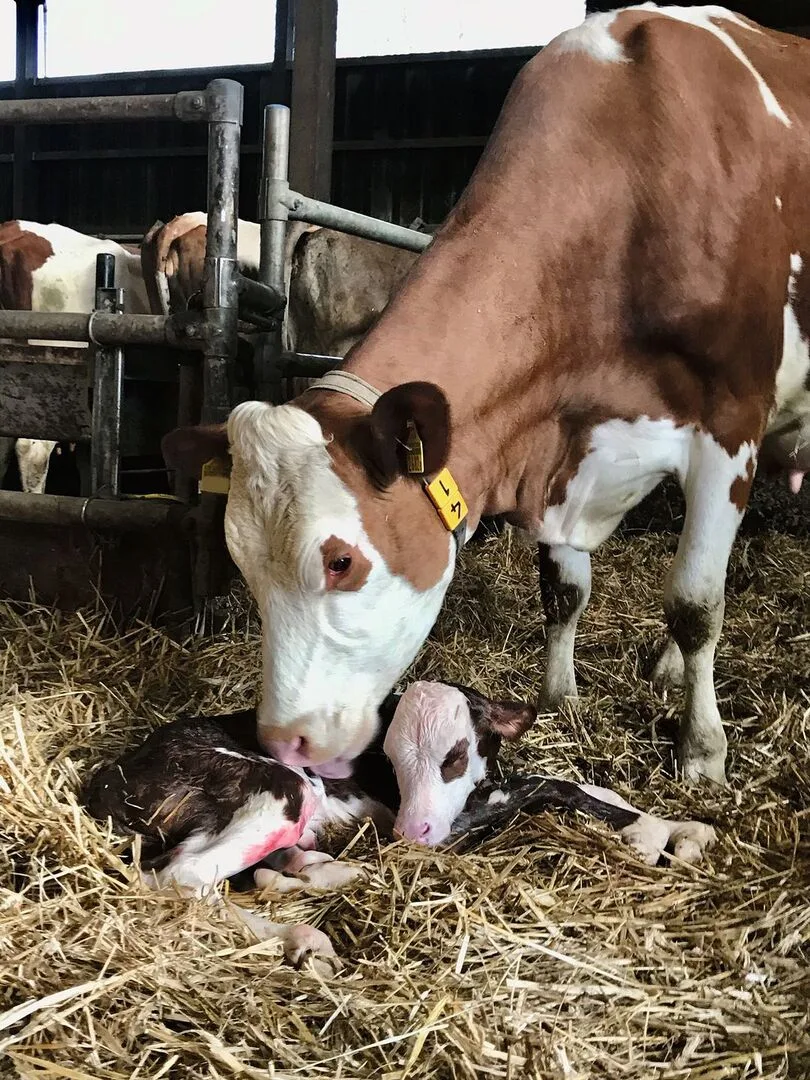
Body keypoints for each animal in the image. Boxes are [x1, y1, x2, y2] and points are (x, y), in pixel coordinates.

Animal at [163, 5, 810, 790]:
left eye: (341, 560)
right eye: (241, 561)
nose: (284, 743)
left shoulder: (729, 424)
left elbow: (696, 602)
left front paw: (702, 749)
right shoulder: (563, 439)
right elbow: (564, 589)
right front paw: (559, 697)